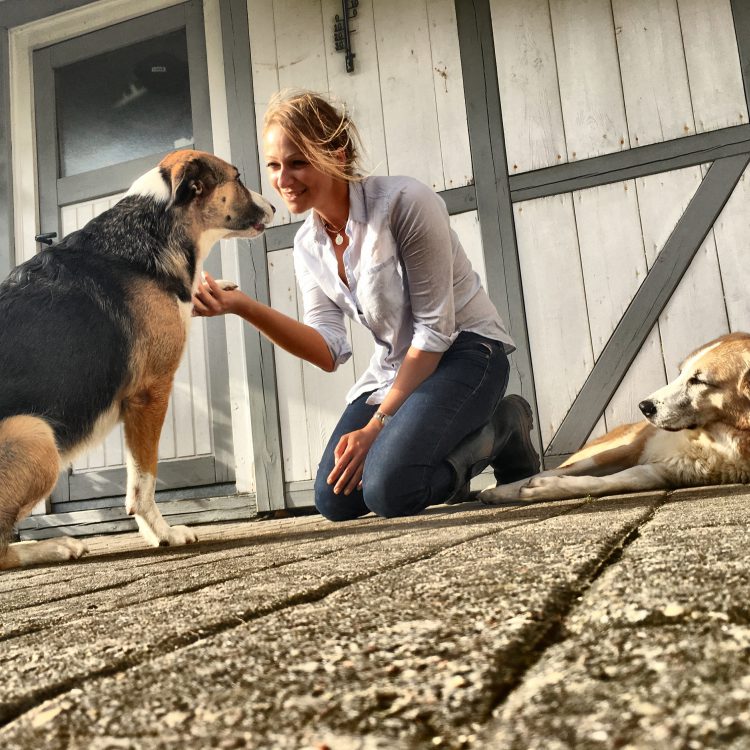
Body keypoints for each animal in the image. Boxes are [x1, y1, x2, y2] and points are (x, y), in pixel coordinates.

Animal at [0, 150, 276, 568]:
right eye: (238, 177)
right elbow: (143, 482)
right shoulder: (149, 395)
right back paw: (56, 546)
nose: (274, 206)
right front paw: (163, 533)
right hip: (37, 436)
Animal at [482, 334, 750, 506]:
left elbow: (606, 482)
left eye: (699, 380)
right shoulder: (628, 450)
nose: (643, 407)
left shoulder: (666, 471)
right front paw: (503, 491)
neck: (711, 436)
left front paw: (546, 488)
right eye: (681, 373)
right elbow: (550, 472)